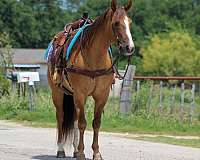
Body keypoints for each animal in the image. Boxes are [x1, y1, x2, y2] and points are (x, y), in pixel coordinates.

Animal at [47, 0, 134, 159]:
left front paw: (96, 152)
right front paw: (82, 152)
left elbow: (96, 123)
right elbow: (82, 123)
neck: (94, 58)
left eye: (129, 22)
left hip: (73, 95)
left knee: (74, 119)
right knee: (61, 117)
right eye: (116, 23)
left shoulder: (102, 95)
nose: (129, 47)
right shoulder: (80, 94)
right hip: (58, 93)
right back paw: (61, 150)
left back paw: (74, 150)